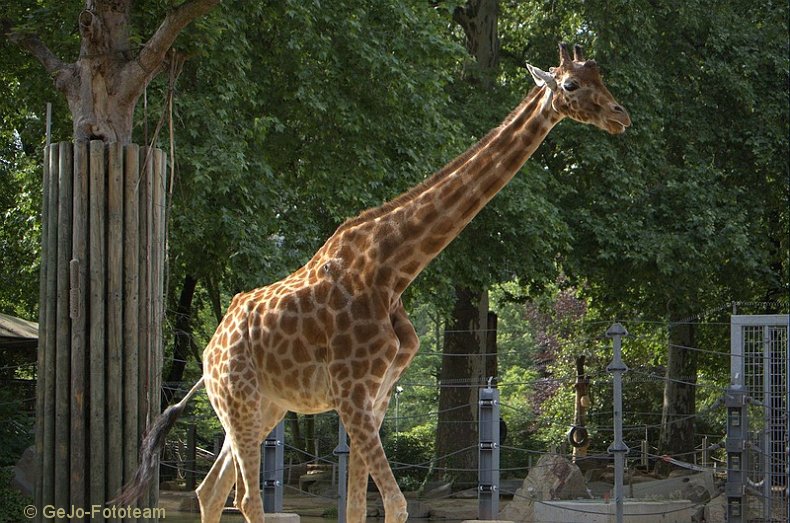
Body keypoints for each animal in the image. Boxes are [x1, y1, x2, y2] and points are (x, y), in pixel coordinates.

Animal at [116, 42, 632, 523]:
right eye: (571, 85)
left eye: (601, 76)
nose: (621, 116)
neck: (393, 271)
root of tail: (208, 352)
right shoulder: (351, 392)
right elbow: (395, 504)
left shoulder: (378, 395)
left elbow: (359, 505)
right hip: (239, 400)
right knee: (244, 496)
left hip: (262, 407)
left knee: (211, 490)